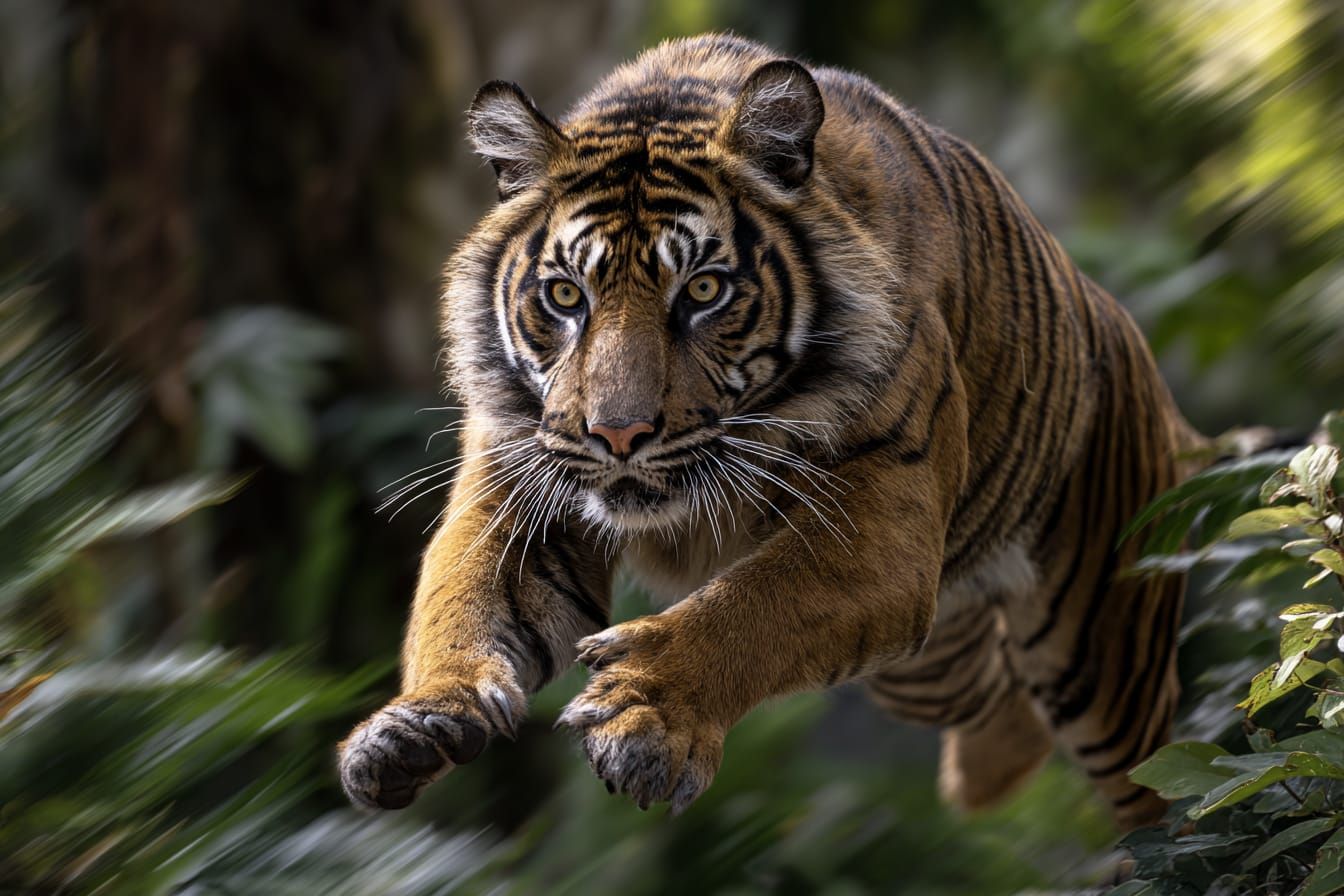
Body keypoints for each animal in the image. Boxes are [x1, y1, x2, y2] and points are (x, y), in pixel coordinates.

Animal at [337, 33, 1201, 830]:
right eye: (565, 296)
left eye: (704, 290)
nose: (618, 436)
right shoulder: (520, 490)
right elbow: (461, 597)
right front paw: (419, 723)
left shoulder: (880, 530)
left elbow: (752, 606)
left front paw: (645, 718)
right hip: (929, 662)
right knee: (998, 705)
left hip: (1101, 654)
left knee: (1156, 783)